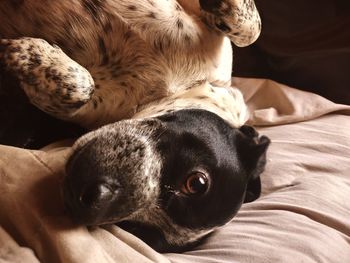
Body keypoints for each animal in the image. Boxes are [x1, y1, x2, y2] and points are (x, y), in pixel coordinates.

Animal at [0, 0, 270, 254]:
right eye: (197, 183)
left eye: (132, 228)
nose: (90, 200)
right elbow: (250, 30)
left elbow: (81, 87)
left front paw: (25, 54)